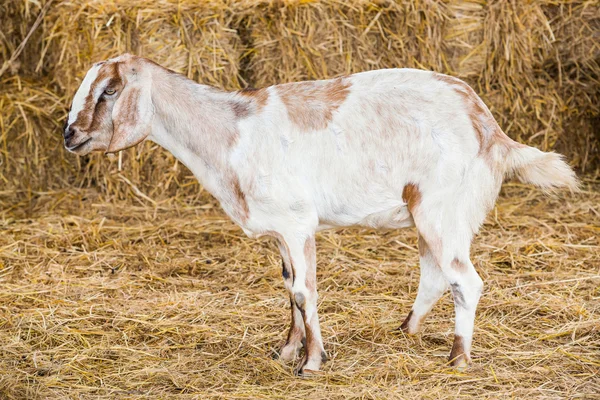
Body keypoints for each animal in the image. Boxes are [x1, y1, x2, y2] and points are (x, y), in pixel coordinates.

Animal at [63, 54, 580, 376]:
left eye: (110, 90)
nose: (69, 135)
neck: (231, 133)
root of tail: (490, 129)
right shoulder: (280, 229)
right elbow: (289, 287)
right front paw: (285, 350)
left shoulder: (296, 223)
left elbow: (303, 290)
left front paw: (310, 362)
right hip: (432, 213)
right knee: (436, 274)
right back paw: (406, 331)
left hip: (443, 208)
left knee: (465, 280)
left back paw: (457, 359)